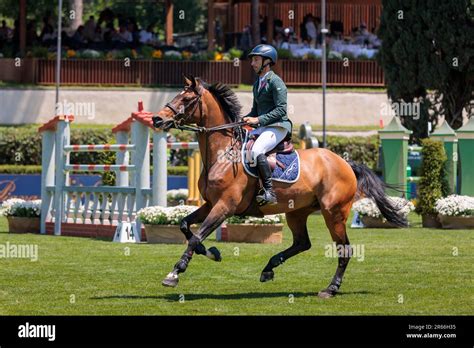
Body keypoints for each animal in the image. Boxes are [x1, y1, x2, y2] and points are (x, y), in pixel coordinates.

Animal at [153, 75, 408, 298]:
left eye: (186, 99)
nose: (157, 119)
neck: (223, 153)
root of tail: (345, 162)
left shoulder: (225, 206)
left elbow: (196, 236)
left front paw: (174, 273)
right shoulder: (210, 204)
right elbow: (185, 226)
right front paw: (213, 253)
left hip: (333, 213)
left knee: (344, 249)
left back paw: (330, 289)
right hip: (297, 212)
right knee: (302, 243)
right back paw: (269, 268)